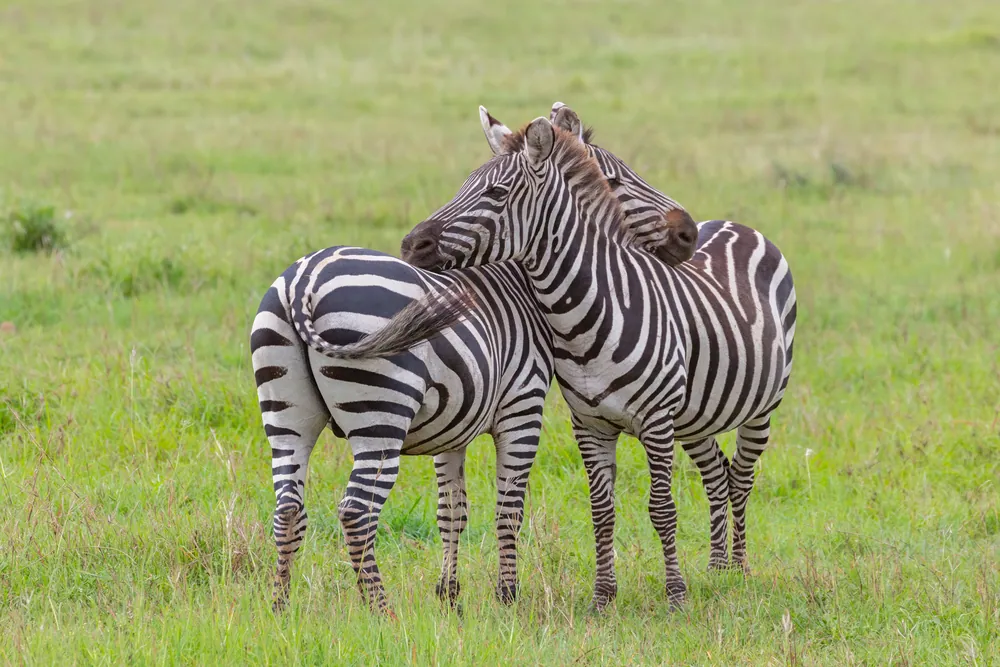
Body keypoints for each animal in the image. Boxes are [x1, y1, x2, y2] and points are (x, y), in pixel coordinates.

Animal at [250, 155, 706, 614]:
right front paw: (507, 596)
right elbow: (508, 509)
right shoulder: (522, 410)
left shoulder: (451, 427)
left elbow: (452, 511)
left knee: (288, 507)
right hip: (379, 417)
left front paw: (450, 597)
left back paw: (280, 605)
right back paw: (381, 610)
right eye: (612, 181)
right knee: (356, 512)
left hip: (286, 416)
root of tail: (304, 280)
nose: (690, 234)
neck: (523, 286)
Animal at [397, 111, 797, 609]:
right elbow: (601, 510)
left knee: (741, 477)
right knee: (717, 475)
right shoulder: (590, 425)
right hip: (696, 417)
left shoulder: (656, 421)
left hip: (760, 407)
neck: (584, 316)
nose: (410, 246)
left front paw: (676, 596)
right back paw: (718, 568)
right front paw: (603, 597)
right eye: (463, 187)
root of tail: (733, 223)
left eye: (496, 194)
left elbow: (661, 508)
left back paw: (739, 569)